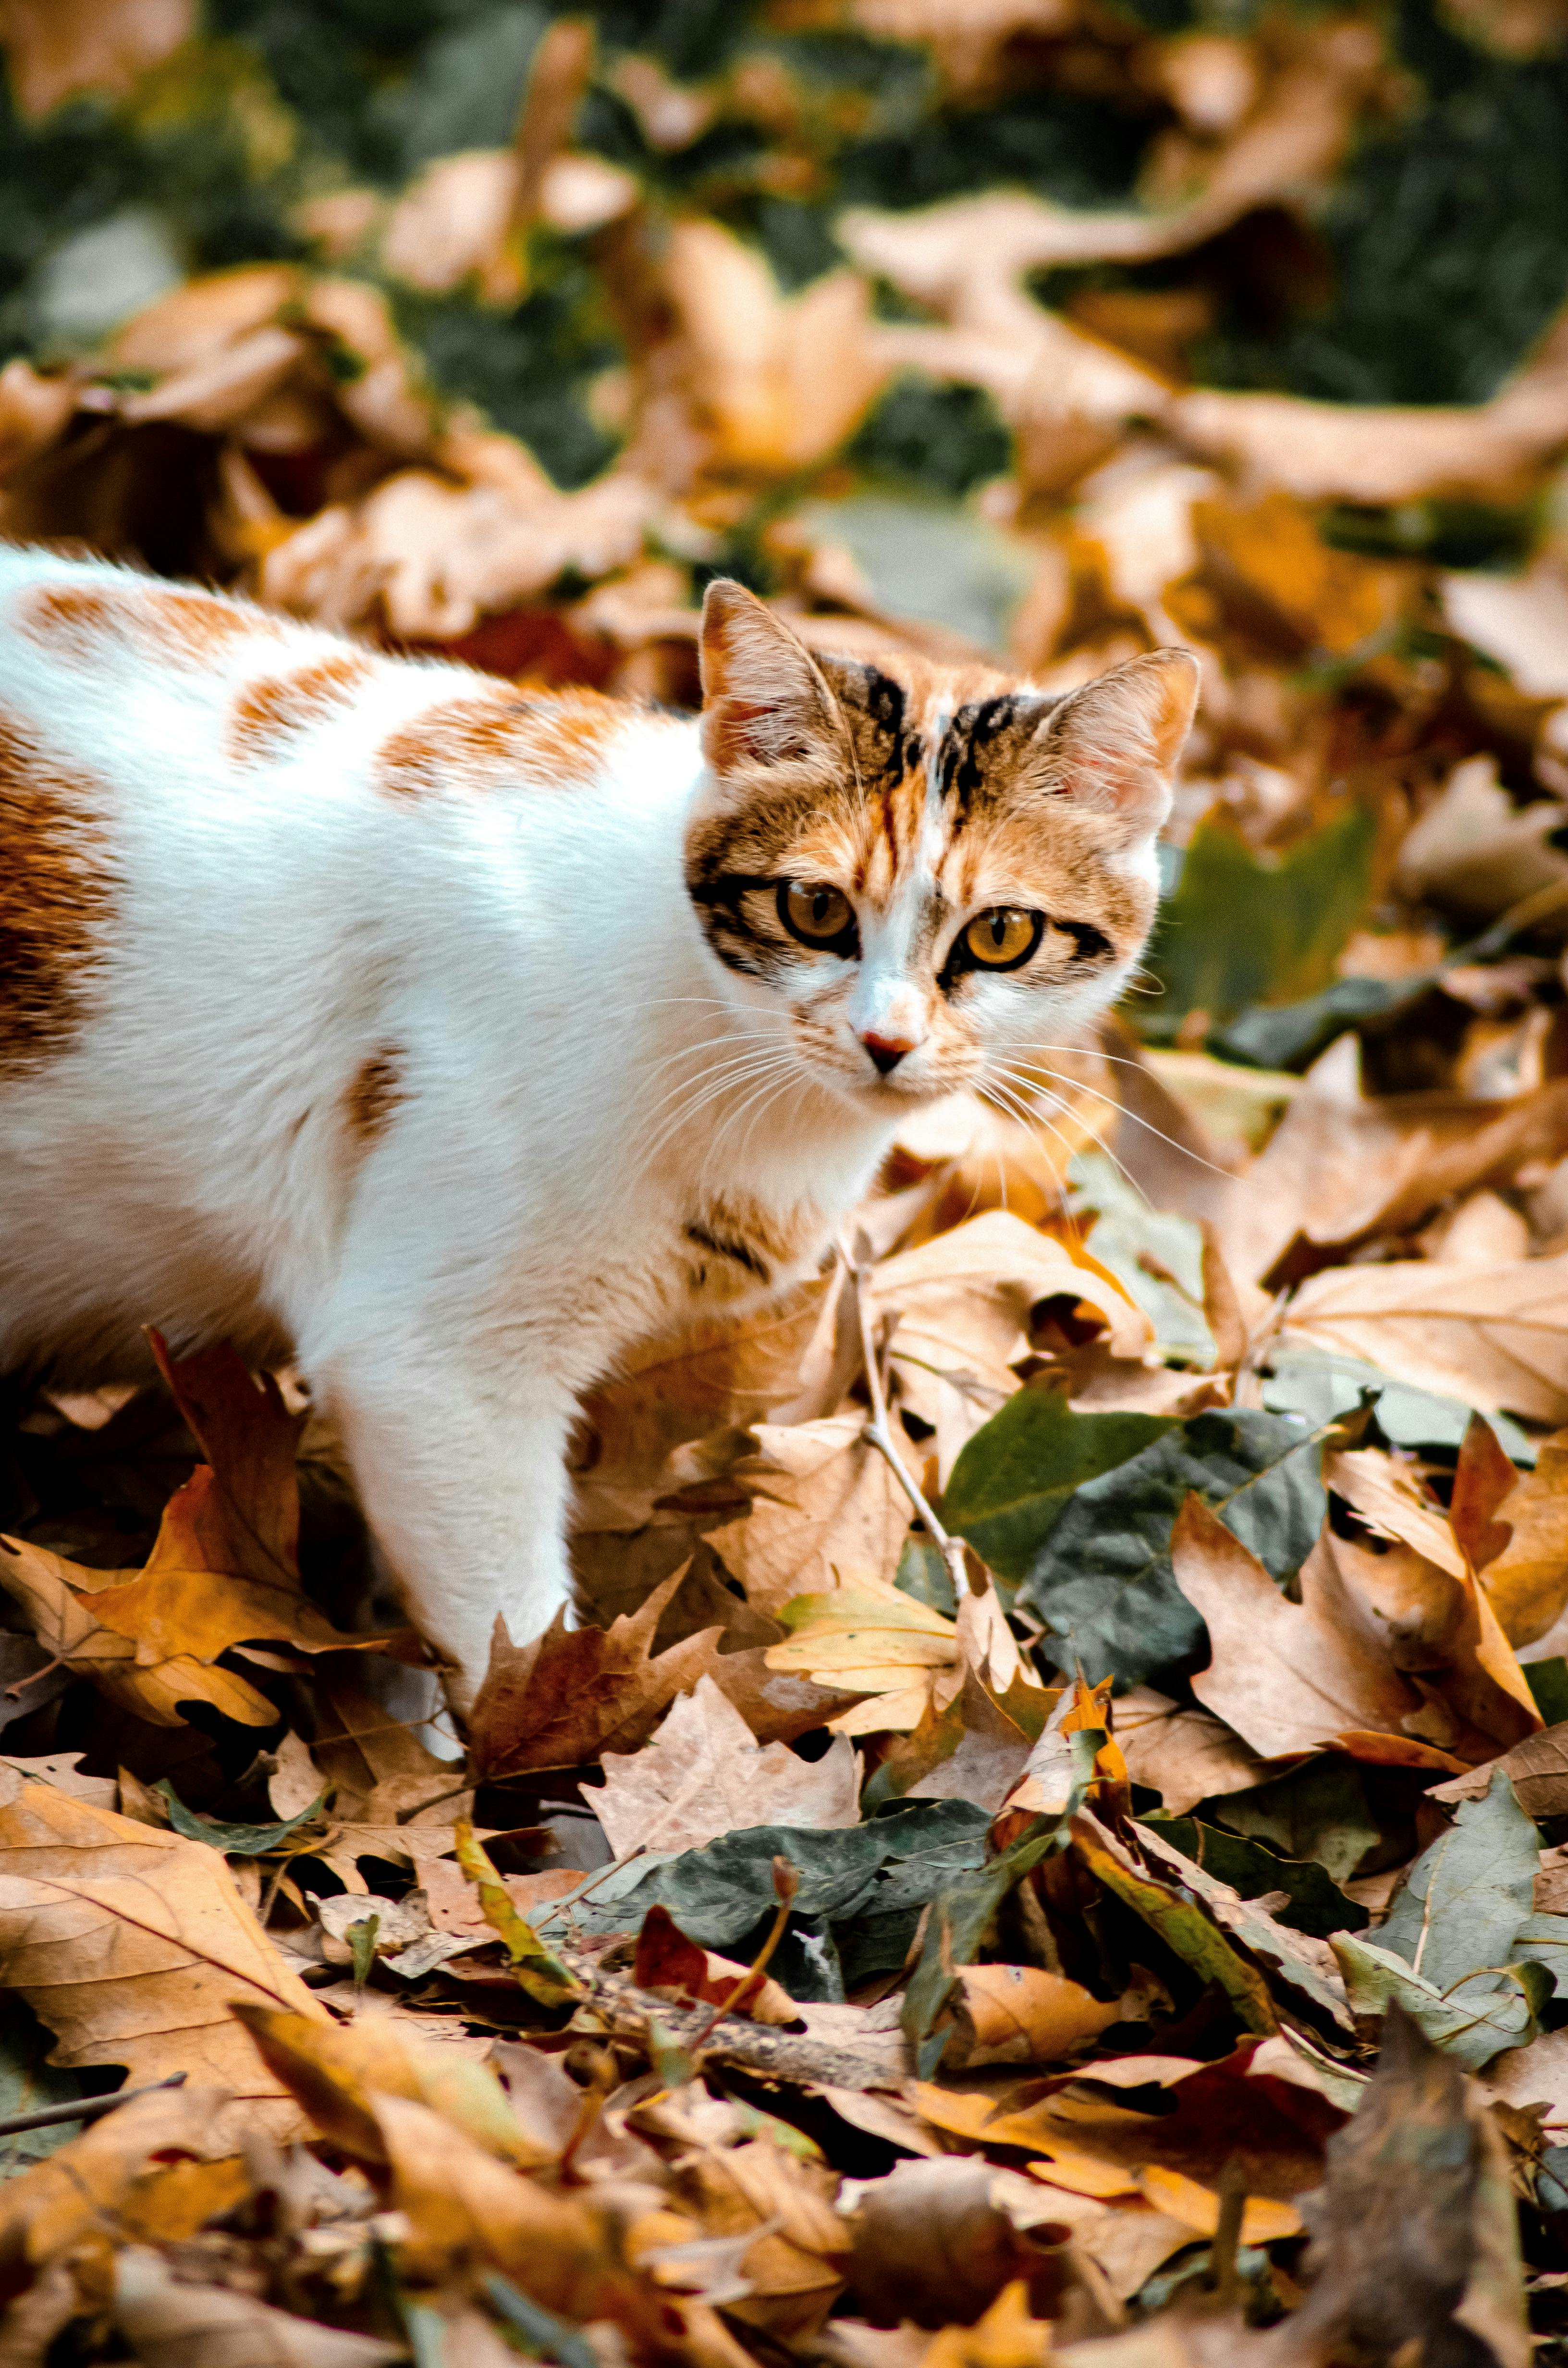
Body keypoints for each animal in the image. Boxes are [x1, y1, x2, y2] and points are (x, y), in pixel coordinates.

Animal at [0, 547, 1198, 1714]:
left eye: (1001, 935)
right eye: (814, 910)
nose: (886, 1041)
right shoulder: (430, 1366)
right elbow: (512, 1642)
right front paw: (540, 1755)